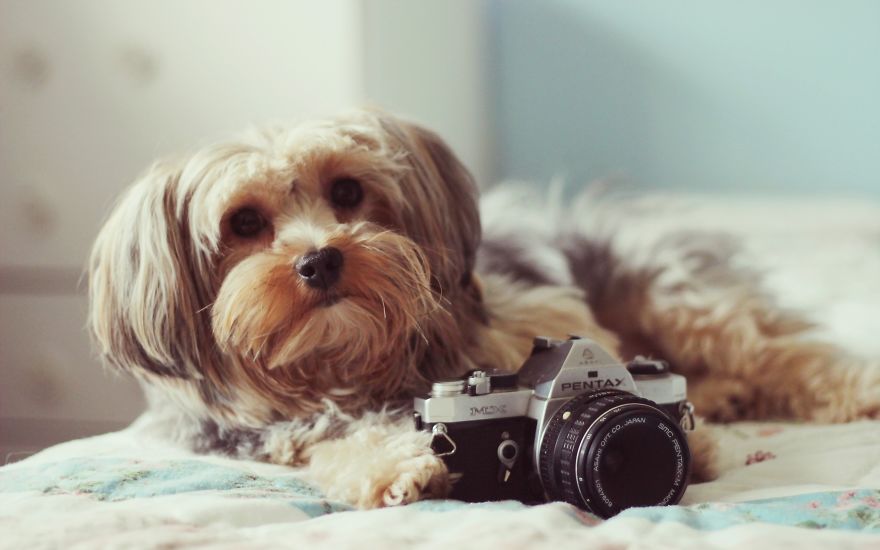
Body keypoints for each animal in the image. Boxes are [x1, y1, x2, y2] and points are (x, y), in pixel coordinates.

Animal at [89, 110, 880, 512]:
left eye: (347, 191)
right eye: (244, 223)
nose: (319, 260)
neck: (344, 362)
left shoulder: (538, 308)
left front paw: (700, 439)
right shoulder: (269, 434)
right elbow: (330, 443)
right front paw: (395, 466)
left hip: (671, 291)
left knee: (777, 348)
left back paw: (844, 388)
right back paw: (725, 394)